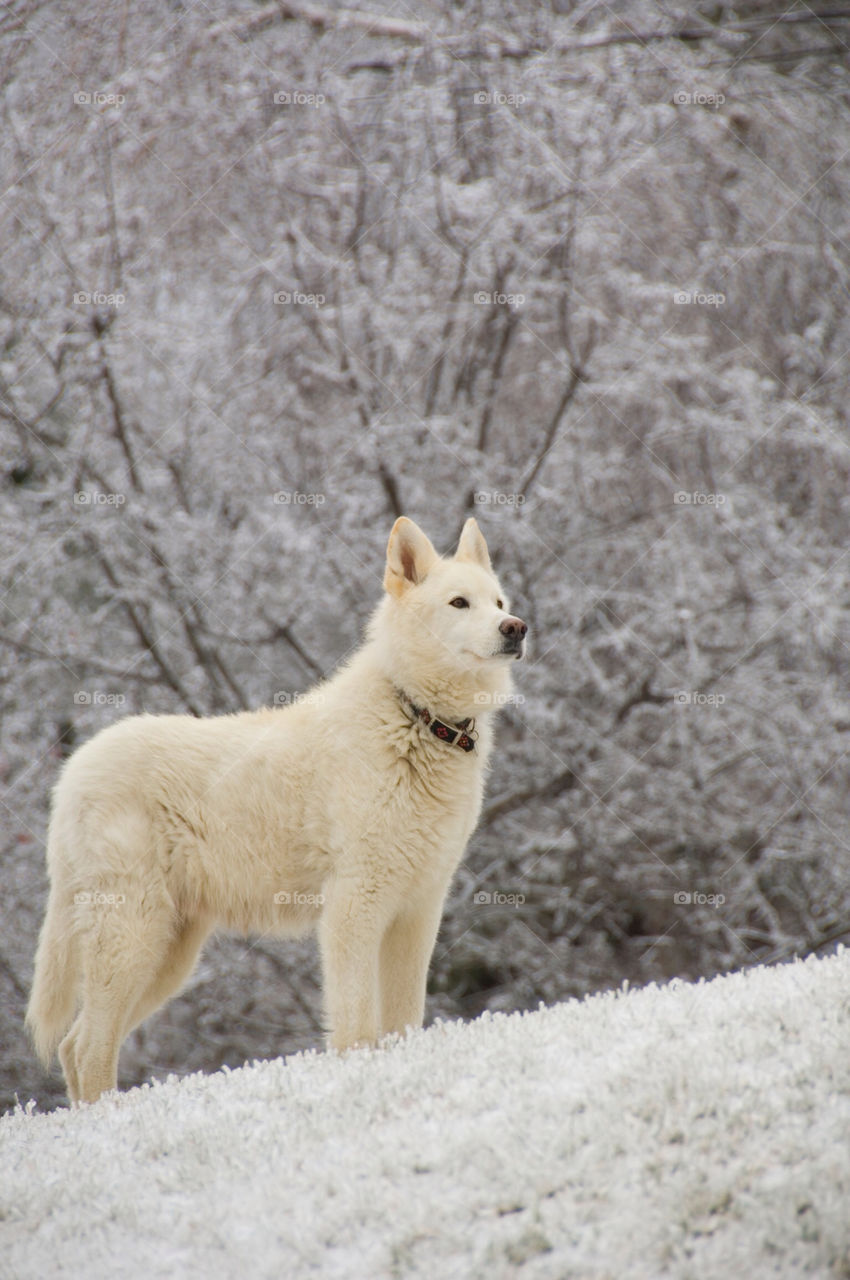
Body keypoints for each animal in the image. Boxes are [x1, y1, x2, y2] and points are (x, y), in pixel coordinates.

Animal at [26, 517, 527, 1100]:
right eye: (459, 603)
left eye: (498, 601)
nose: (516, 628)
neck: (416, 718)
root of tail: (72, 773)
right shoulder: (353, 907)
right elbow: (356, 1025)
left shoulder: (418, 912)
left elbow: (405, 1021)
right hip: (133, 940)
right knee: (87, 1049)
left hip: (168, 959)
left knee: (72, 1046)